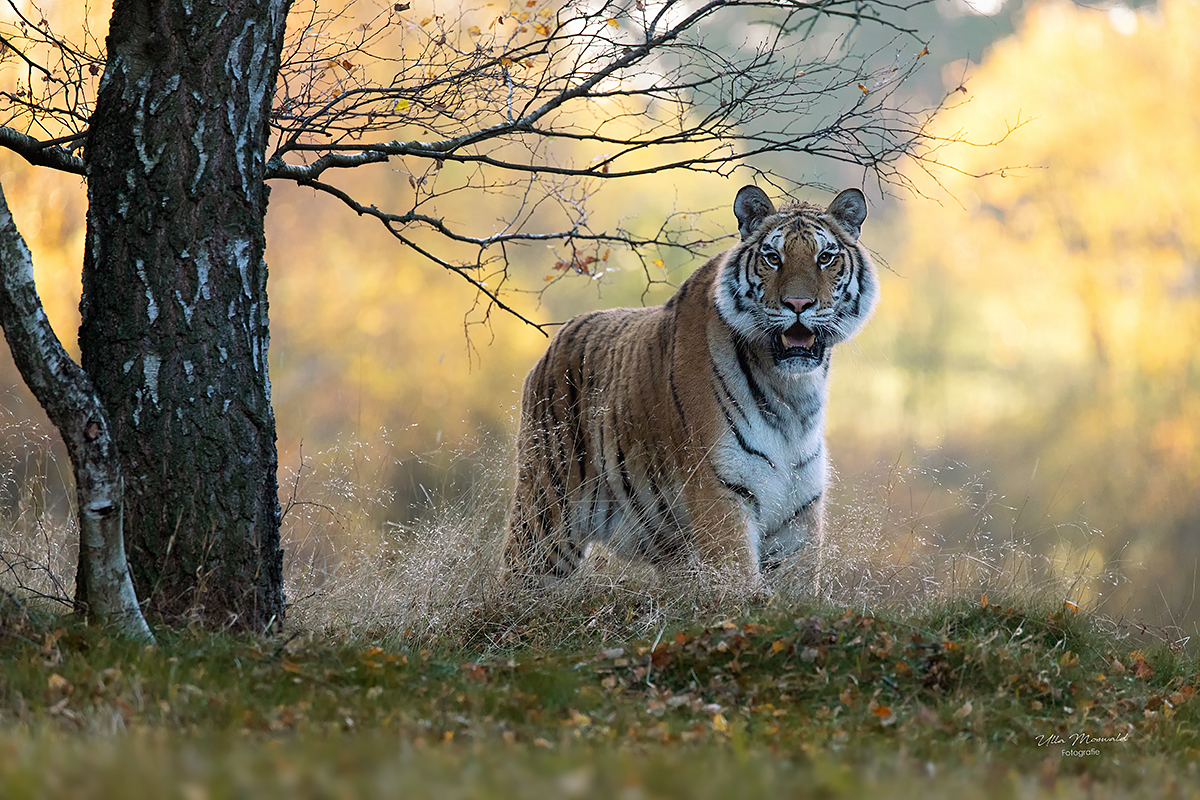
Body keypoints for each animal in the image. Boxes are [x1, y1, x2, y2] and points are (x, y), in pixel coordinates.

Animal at [501, 184, 878, 592]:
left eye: (825, 257)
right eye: (773, 257)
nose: (798, 303)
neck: (792, 396)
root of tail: (552, 345)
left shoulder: (798, 517)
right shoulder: (723, 493)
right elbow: (741, 588)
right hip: (545, 522)